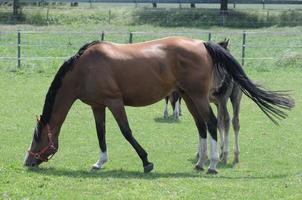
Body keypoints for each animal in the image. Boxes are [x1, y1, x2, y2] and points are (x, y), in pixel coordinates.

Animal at [24, 37, 294, 173]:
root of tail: (202, 44)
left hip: (198, 97)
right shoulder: (98, 106)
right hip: (188, 97)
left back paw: (213, 164)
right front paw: (100, 162)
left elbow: (126, 132)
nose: (28, 161)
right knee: (201, 126)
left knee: (213, 123)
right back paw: (200, 163)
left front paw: (146, 162)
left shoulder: (114, 102)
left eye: (37, 137)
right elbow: (101, 133)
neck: (85, 68)